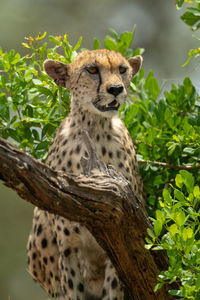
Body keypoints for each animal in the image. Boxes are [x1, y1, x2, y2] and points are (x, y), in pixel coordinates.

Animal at [26, 49, 143, 300]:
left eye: (122, 69)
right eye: (92, 70)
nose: (116, 89)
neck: (95, 129)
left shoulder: (119, 244)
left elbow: (113, 291)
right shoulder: (69, 247)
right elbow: (71, 290)